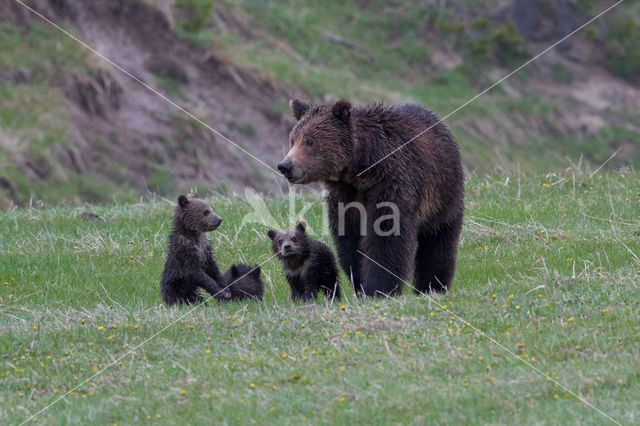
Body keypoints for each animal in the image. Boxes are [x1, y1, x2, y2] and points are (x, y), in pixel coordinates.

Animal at [278, 99, 462, 296]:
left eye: (309, 140)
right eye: (292, 140)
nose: (285, 165)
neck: (361, 172)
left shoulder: (392, 183)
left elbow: (387, 236)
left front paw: (378, 288)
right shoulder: (345, 198)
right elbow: (350, 242)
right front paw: (360, 283)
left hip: (443, 192)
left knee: (438, 241)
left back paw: (432, 286)